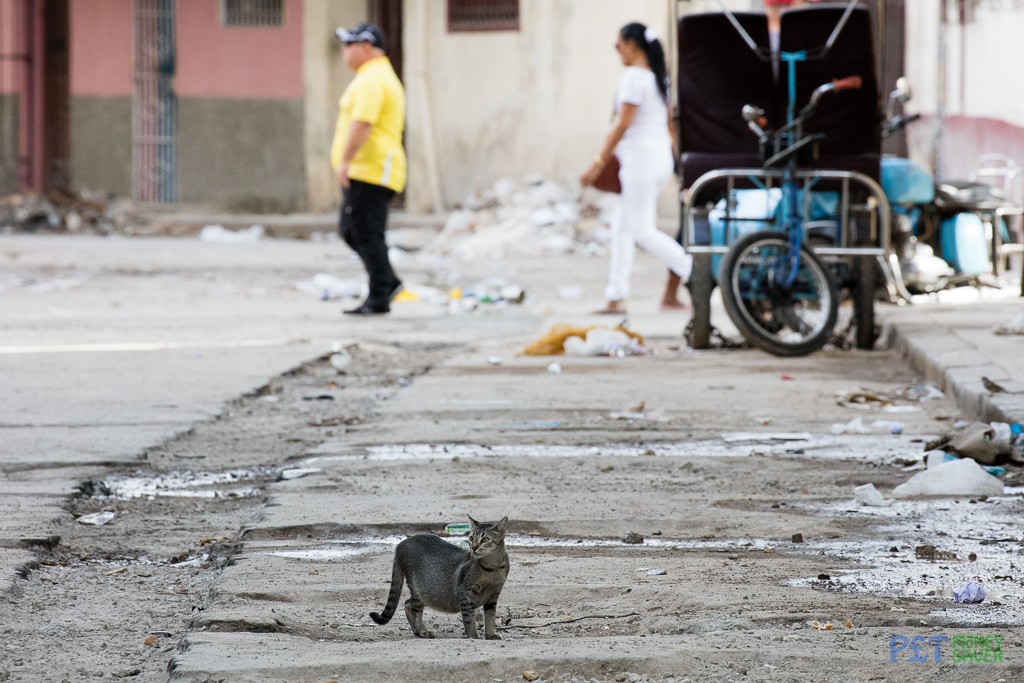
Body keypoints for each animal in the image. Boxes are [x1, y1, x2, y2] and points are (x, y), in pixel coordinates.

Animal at [370, 518, 509, 643]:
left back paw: (417, 631)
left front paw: (490, 635)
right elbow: (469, 619)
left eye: (485, 539)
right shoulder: (465, 594)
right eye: (471, 538)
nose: (474, 548)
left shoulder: (493, 596)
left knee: (408, 604)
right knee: (414, 609)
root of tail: (400, 545)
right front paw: (474, 636)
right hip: (419, 589)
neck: (492, 568)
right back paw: (423, 631)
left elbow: (490, 618)